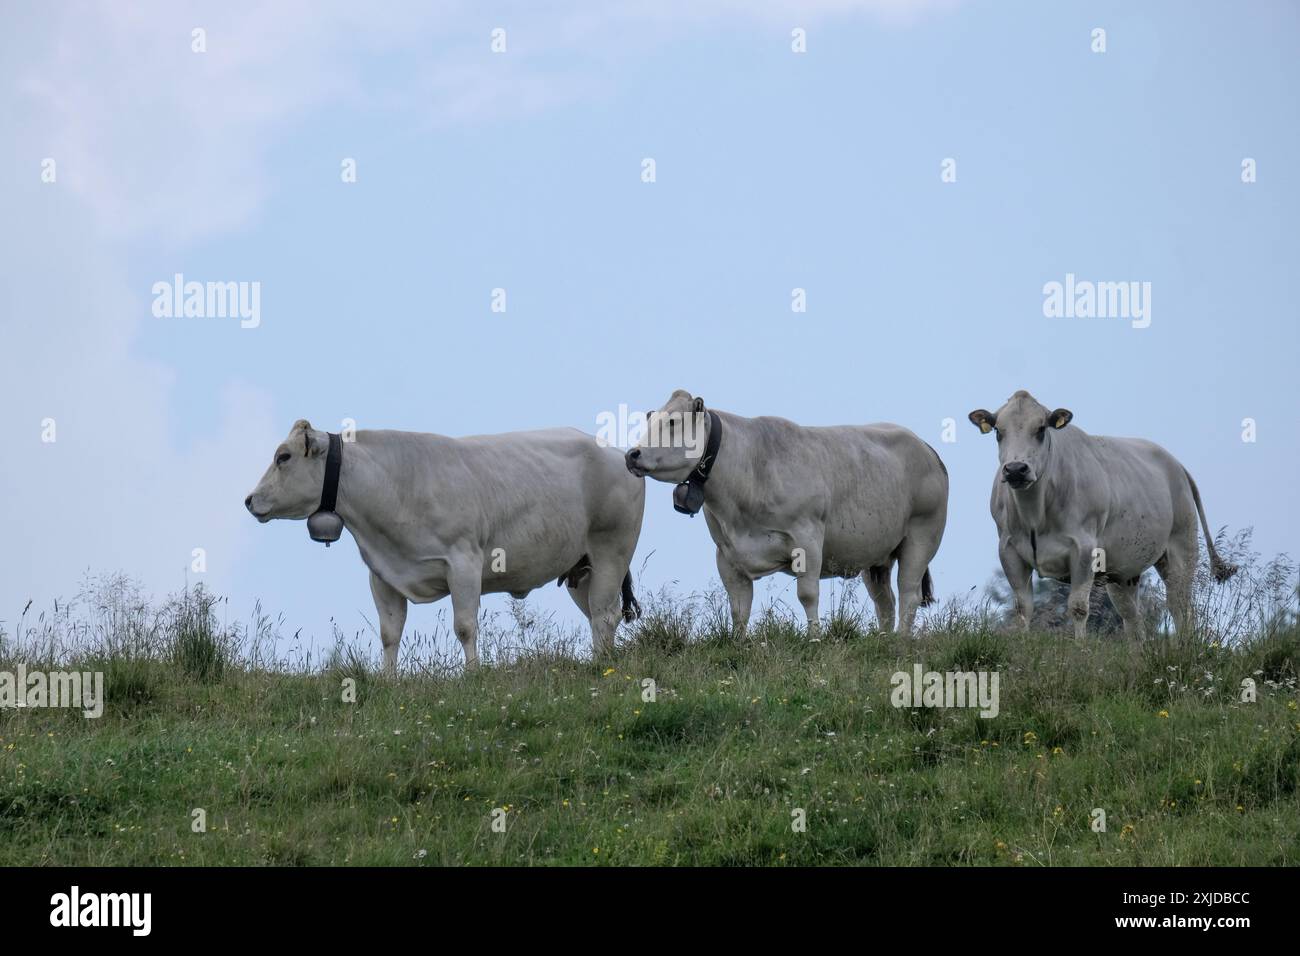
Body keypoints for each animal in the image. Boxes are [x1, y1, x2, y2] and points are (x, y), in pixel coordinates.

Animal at [244, 418, 644, 671]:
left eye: (283, 457)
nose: (249, 500)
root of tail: (615, 452)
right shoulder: (383, 575)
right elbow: (389, 633)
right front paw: (388, 681)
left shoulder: (463, 561)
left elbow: (465, 626)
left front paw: (472, 676)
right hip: (582, 565)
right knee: (596, 615)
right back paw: (600, 662)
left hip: (612, 550)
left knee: (604, 614)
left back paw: (601, 668)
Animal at [624, 392, 951, 639]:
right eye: (651, 419)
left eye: (672, 421)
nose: (632, 454)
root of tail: (924, 446)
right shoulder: (726, 554)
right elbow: (739, 606)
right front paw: (739, 643)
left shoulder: (807, 539)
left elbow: (807, 594)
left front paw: (814, 638)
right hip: (877, 555)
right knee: (886, 601)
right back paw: (884, 639)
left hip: (921, 535)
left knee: (908, 592)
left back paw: (902, 639)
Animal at [972, 390, 1232, 634]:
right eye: (998, 431)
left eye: (1041, 429)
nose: (1016, 469)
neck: (1035, 515)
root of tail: (1176, 464)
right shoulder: (1008, 550)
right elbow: (1022, 609)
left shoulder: (1084, 548)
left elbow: (1078, 607)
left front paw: (1081, 648)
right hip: (1124, 572)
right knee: (1132, 619)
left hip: (1182, 547)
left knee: (1180, 606)